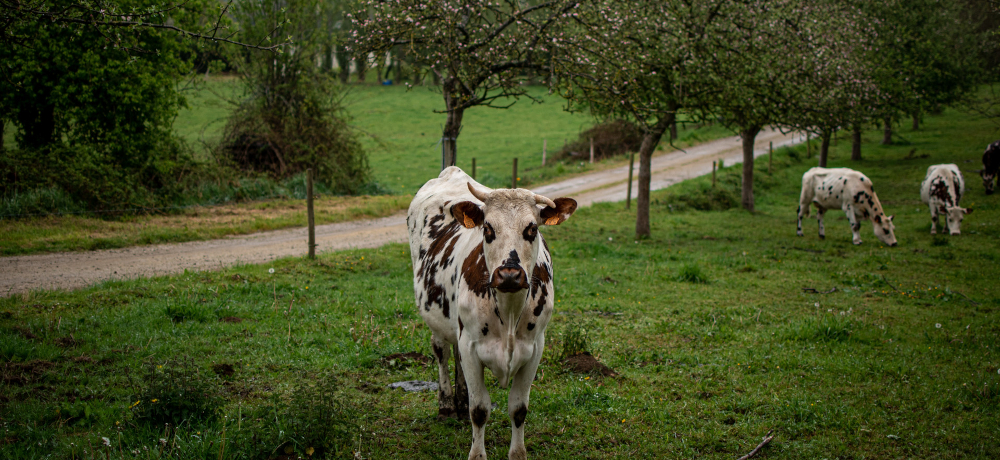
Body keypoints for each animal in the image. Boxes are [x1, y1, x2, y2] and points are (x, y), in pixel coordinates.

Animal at [406, 166, 580, 460]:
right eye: (487, 228)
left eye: (532, 228)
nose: (509, 273)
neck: (509, 313)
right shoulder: (471, 345)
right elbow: (479, 410)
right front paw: (477, 454)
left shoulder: (535, 347)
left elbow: (518, 409)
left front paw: (517, 453)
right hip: (437, 319)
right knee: (442, 352)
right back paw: (446, 405)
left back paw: (460, 402)